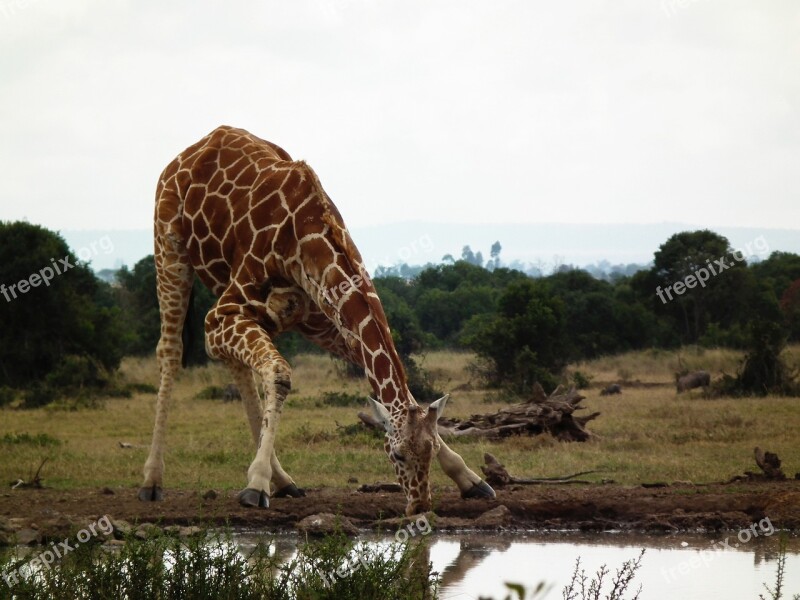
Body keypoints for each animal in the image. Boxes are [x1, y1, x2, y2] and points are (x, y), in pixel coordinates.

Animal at [141, 125, 496, 516]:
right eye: (397, 454)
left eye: (430, 451)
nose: (419, 505)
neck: (306, 237)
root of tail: (191, 150)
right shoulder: (220, 314)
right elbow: (280, 375)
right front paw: (256, 484)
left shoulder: (328, 321)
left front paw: (470, 478)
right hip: (168, 247)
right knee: (171, 351)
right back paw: (152, 481)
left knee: (236, 364)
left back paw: (284, 481)